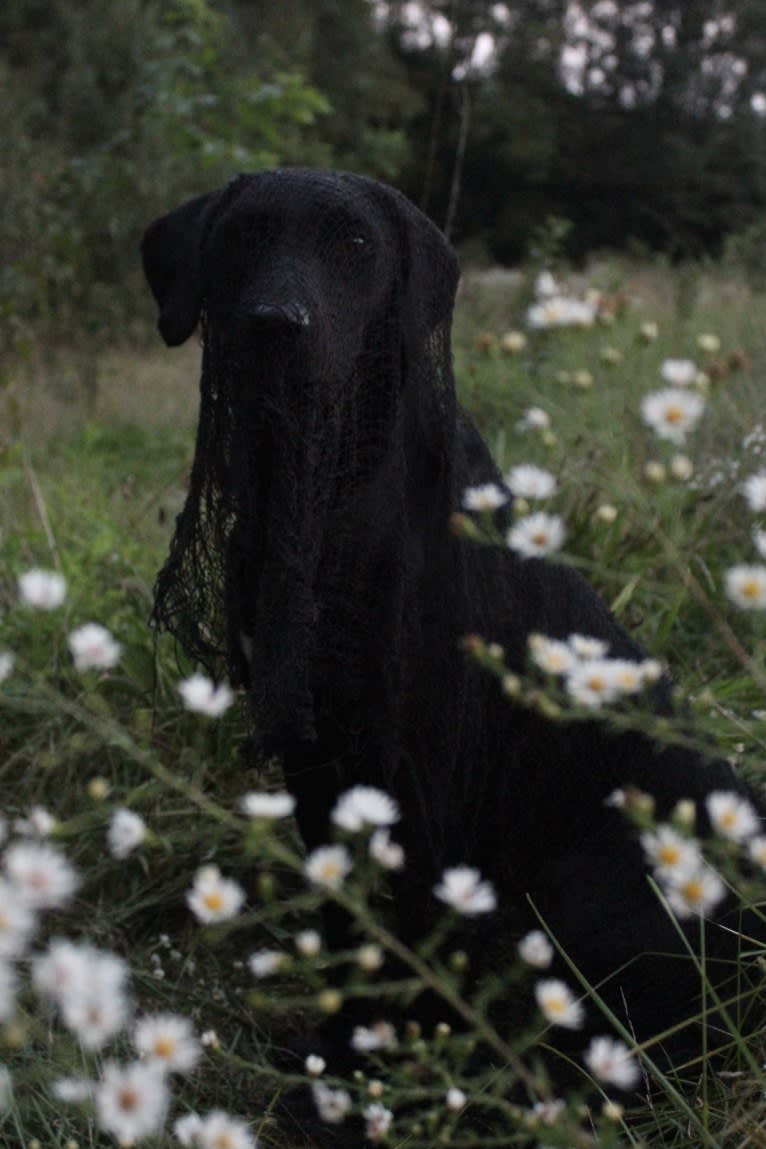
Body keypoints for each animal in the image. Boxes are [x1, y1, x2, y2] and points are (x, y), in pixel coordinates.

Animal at [142, 167, 762, 1075]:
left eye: (356, 244)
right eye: (242, 234)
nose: (275, 326)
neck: (330, 498)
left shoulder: (418, 768)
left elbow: (404, 927)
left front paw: (363, 1071)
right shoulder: (318, 756)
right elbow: (348, 917)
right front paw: (338, 1047)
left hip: (585, 886)